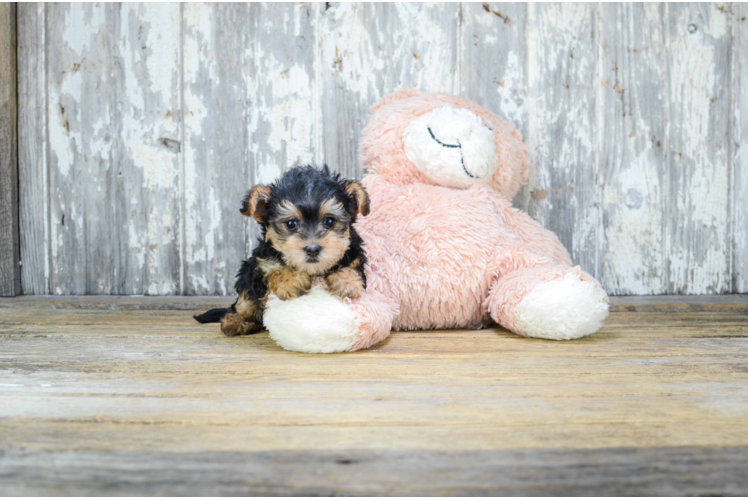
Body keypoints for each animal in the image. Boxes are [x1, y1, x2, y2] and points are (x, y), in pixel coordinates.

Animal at [193, 167, 368, 336]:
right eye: (291, 223)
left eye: (330, 221)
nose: (312, 249)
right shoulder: (260, 265)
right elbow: (274, 270)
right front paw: (290, 280)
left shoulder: (355, 253)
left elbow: (352, 265)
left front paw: (347, 282)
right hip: (245, 276)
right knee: (244, 302)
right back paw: (237, 321)